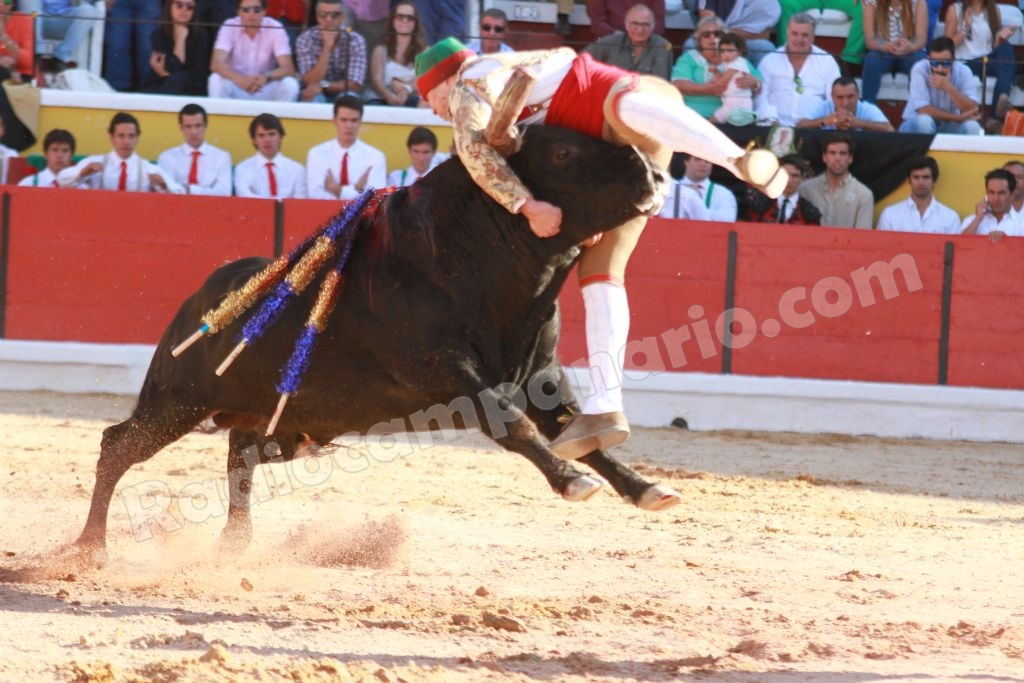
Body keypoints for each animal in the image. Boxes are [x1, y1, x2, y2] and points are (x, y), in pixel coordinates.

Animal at [70, 125, 679, 565]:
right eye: (561, 152)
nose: (655, 174)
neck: (471, 256)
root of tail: (202, 295)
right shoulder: (451, 374)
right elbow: (513, 424)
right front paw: (572, 481)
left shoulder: (540, 375)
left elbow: (585, 434)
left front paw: (646, 489)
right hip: (177, 400)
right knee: (117, 445)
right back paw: (89, 548)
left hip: (278, 422)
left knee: (239, 454)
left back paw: (233, 545)